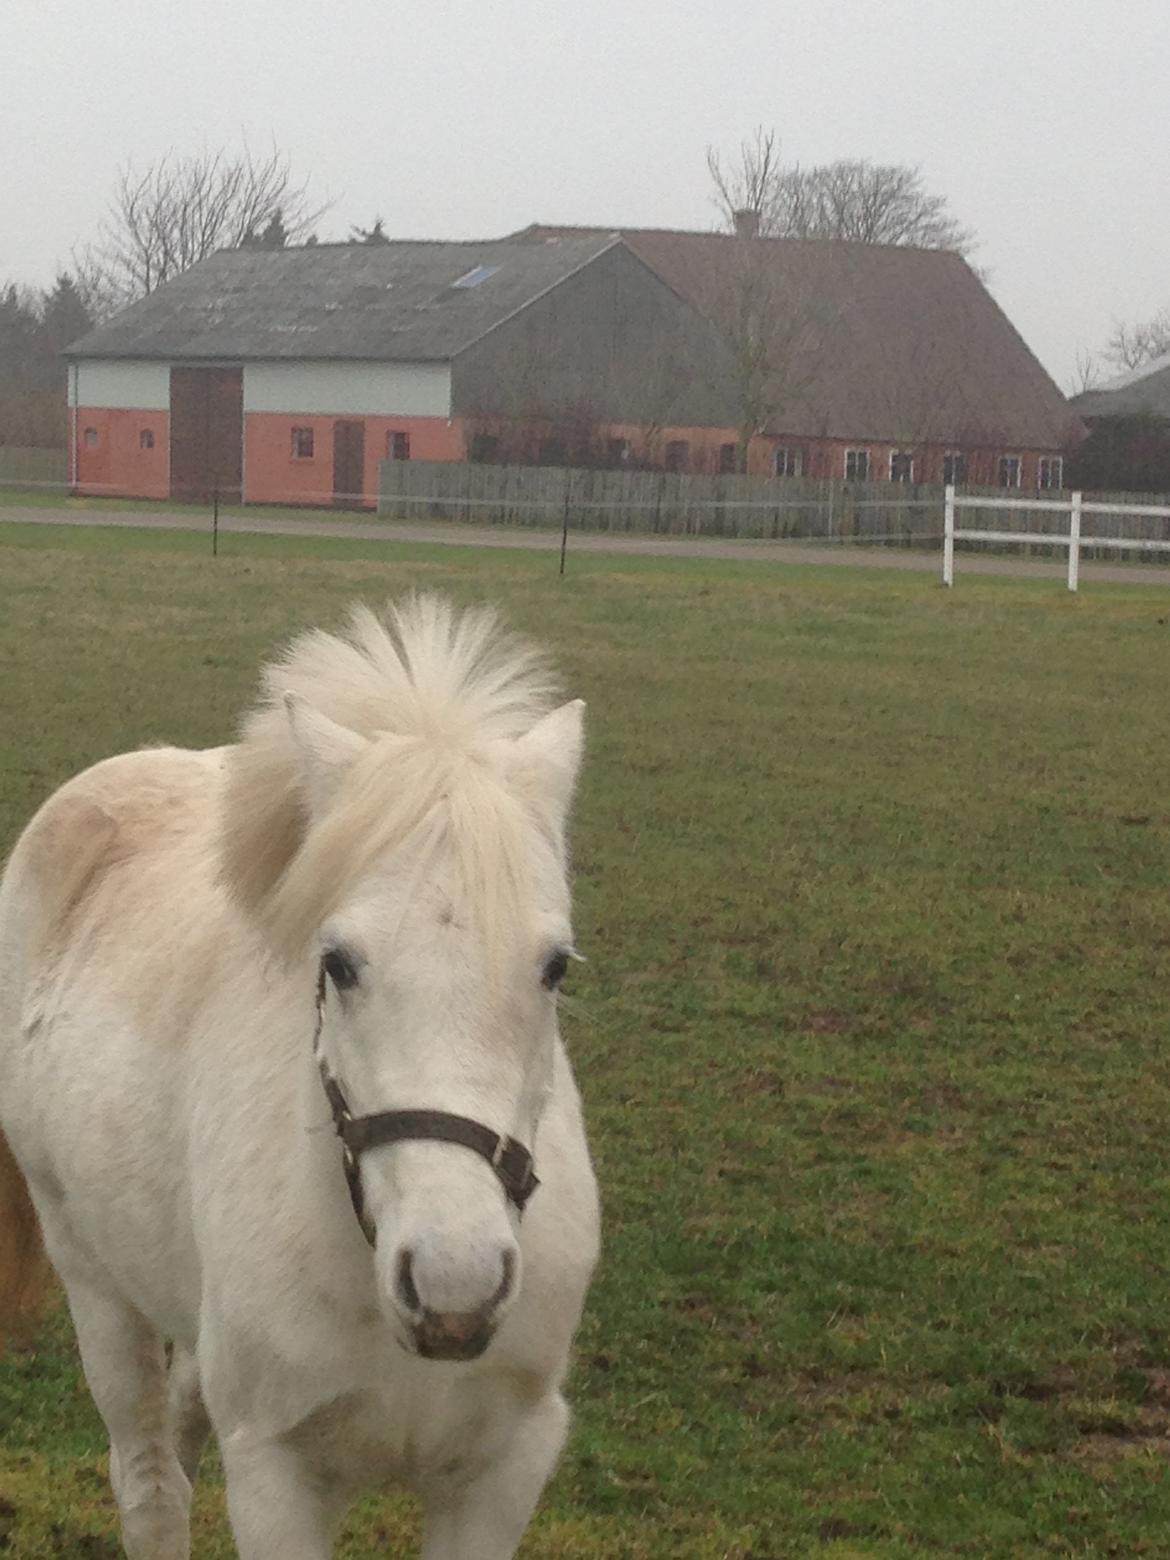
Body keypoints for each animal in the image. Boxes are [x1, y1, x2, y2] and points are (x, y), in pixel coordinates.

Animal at [0, 596, 599, 1560]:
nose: (455, 1282)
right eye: (339, 963)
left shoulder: (502, 1473)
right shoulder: (276, 1476)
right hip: (90, 1275)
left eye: (553, 967)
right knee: (149, 1478)